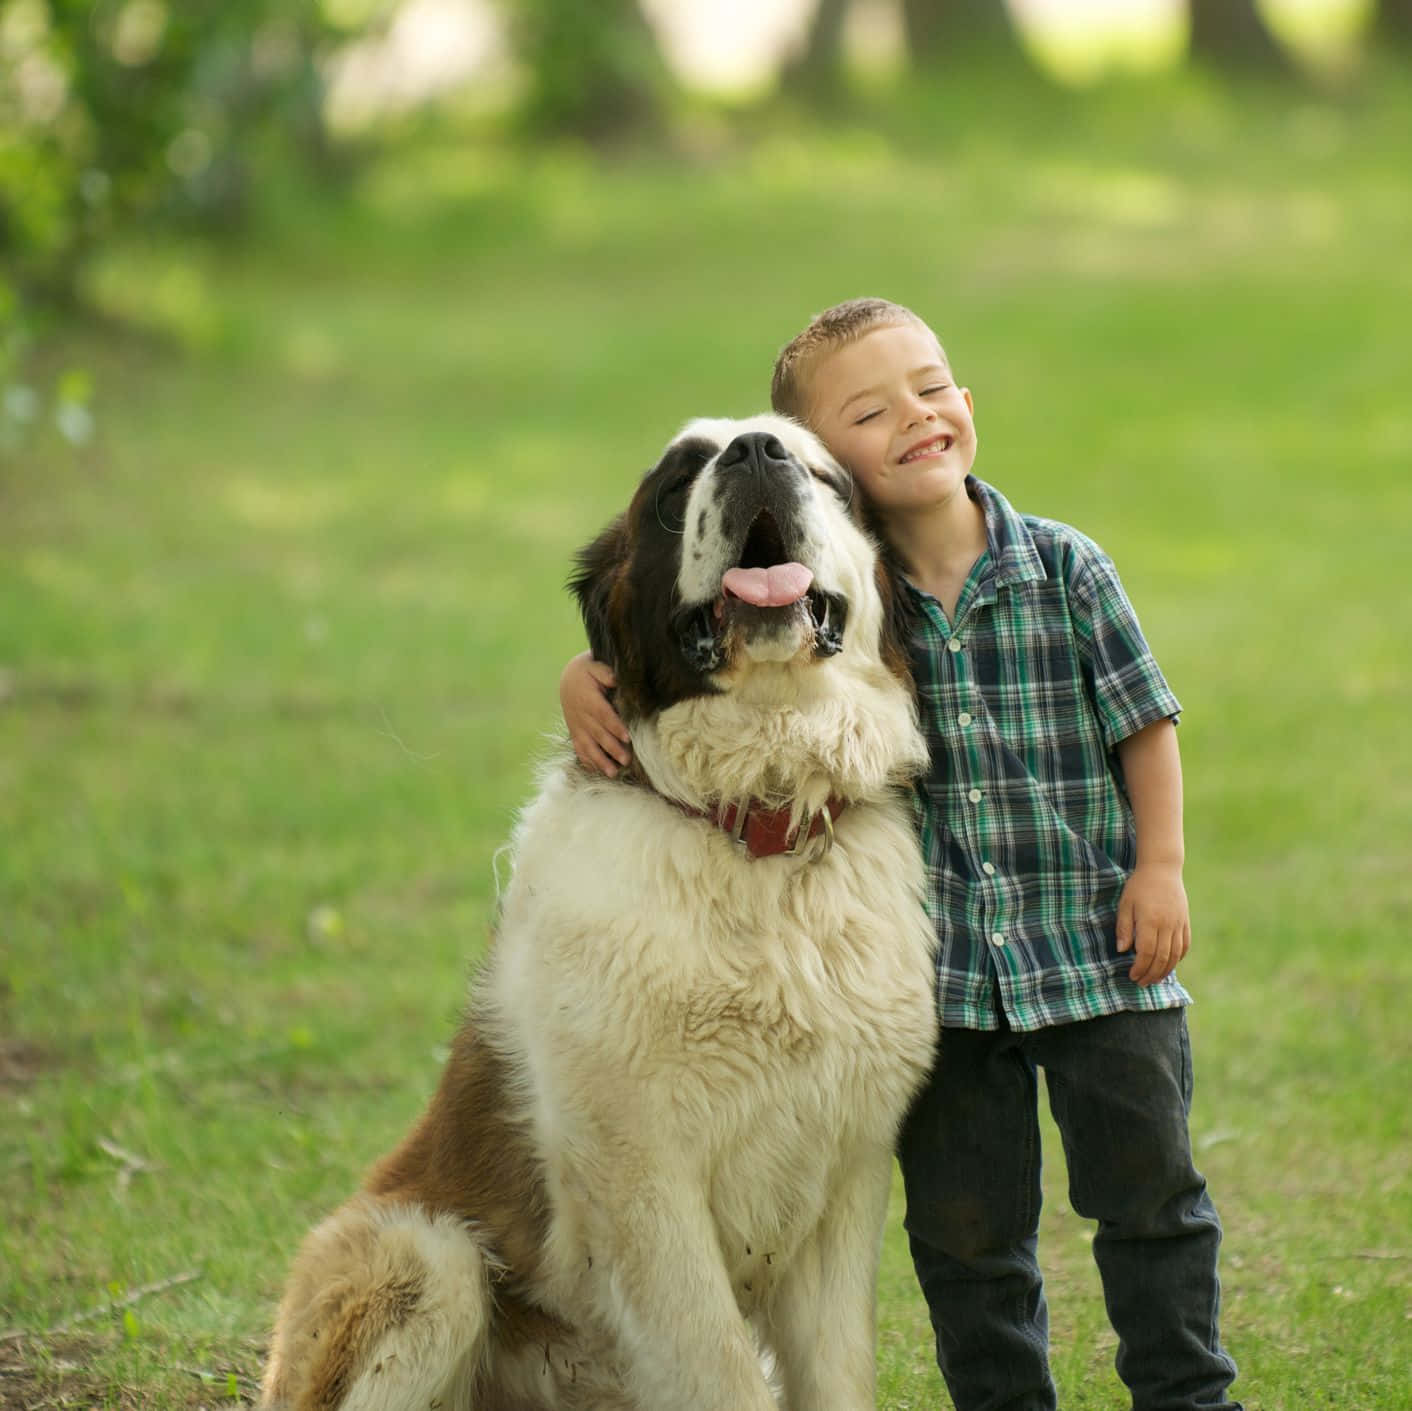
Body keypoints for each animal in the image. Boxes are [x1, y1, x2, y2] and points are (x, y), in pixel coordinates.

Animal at [259, 412, 943, 1406]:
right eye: (676, 485)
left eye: (821, 473)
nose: (755, 454)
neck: (756, 826)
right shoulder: (642, 1181)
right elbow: (717, 1364)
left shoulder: (847, 1175)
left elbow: (837, 1371)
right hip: (424, 1254)